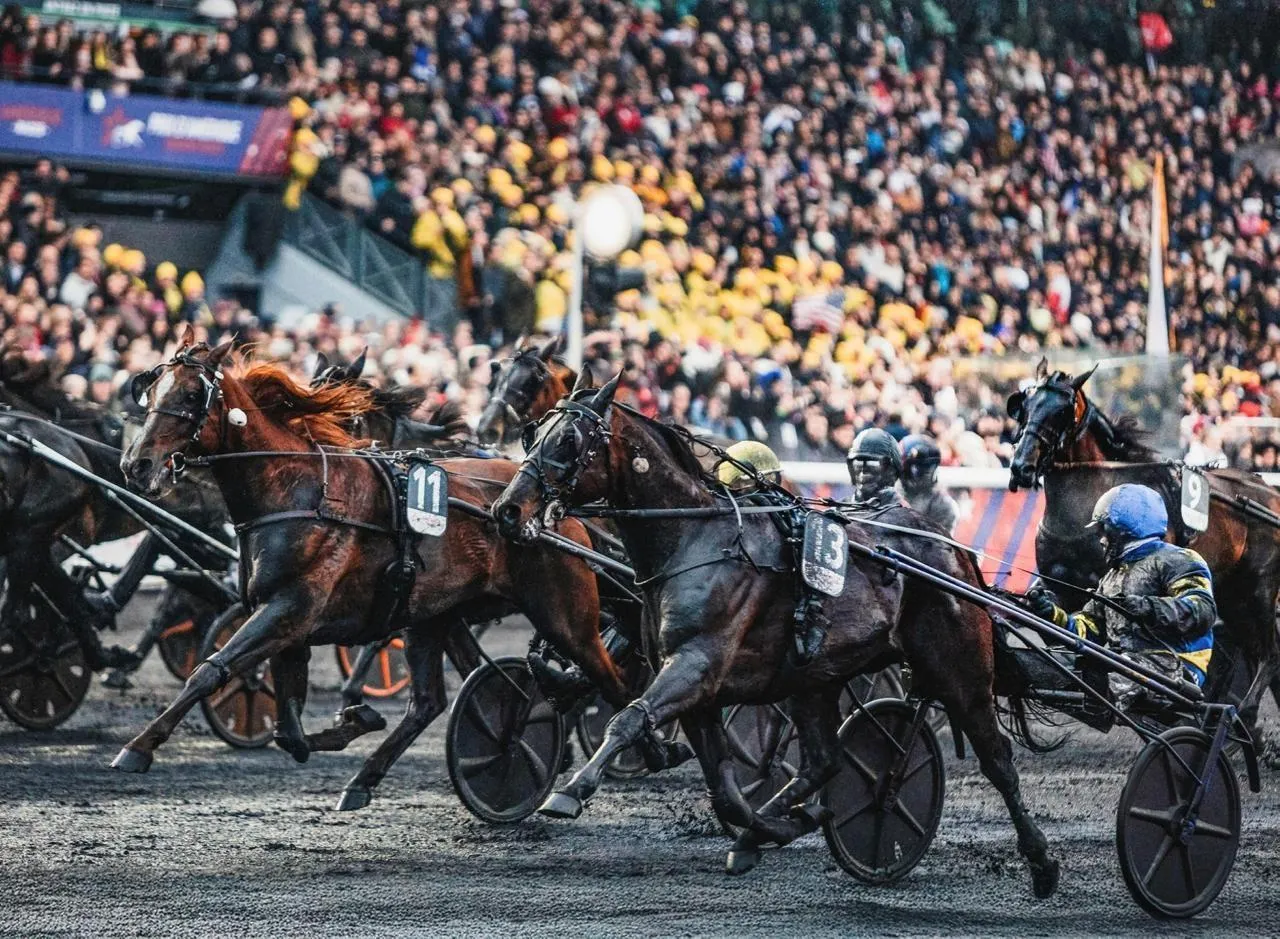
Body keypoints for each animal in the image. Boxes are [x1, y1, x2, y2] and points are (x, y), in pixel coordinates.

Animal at [112, 335, 669, 813]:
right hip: (435, 617)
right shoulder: (286, 619)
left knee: (612, 679)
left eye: (190, 394)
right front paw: (353, 719)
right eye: (151, 387)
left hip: (563, 614)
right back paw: (374, 776)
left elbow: (211, 670)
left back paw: (639, 750)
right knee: (437, 699)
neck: (297, 489)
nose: (137, 464)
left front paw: (137, 747)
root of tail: (552, 509)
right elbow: (288, 728)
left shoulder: (290, 610)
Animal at [490, 373, 1060, 898]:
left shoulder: (696, 665)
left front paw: (570, 790)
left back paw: (1041, 863)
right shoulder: (698, 689)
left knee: (998, 760)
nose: (507, 509)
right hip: (816, 681)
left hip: (959, 669)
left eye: (568, 440)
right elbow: (724, 790)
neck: (697, 539)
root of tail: (953, 551)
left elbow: (629, 718)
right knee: (825, 760)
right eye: (533, 433)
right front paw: (775, 829)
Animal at [1007, 359, 1280, 730]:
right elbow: (1052, 620)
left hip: (1257, 591)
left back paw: (1244, 715)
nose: (1022, 466)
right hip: (1230, 593)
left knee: (1268, 653)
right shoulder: (1060, 582)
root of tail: (1270, 493)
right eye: (1023, 406)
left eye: (1062, 412)